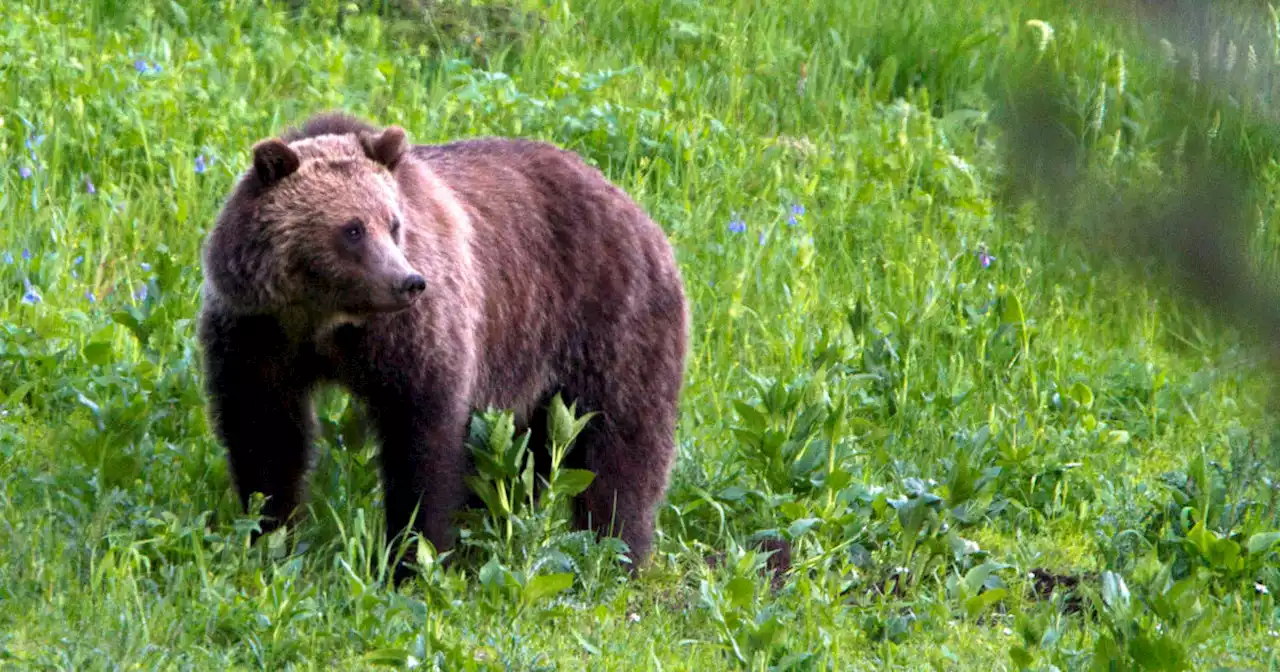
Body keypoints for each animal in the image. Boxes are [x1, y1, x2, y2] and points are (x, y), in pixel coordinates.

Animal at [197, 111, 691, 581]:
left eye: (393, 223)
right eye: (352, 229)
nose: (408, 281)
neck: (325, 320)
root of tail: (637, 211)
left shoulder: (412, 338)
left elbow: (422, 440)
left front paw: (413, 557)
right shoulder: (258, 334)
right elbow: (265, 434)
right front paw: (269, 535)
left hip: (607, 320)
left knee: (621, 442)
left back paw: (616, 551)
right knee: (529, 455)